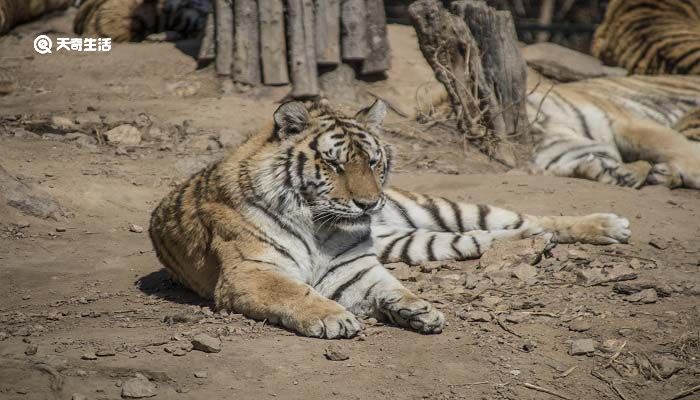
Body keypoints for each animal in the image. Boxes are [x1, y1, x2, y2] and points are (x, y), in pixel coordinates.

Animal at [150, 98, 632, 340]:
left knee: (531, 218)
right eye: (334, 164)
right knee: (490, 234)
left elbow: (392, 287)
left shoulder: (355, 269)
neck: (321, 227)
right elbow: (294, 292)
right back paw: (510, 244)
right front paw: (335, 318)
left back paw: (609, 225)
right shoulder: (250, 272)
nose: (369, 205)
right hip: (417, 237)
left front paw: (417, 308)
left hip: (444, 208)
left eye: (373, 161)